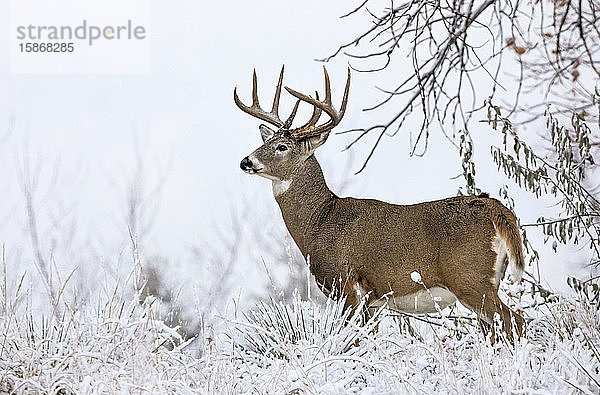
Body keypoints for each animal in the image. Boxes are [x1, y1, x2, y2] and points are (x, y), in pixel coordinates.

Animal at [234, 66, 524, 342]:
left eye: (282, 146)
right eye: (266, 141)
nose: (246, 161)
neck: (320, 221)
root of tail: (495, 209)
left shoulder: (346, 283)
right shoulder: (373, 301)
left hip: (469, 277)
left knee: (515, 321)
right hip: (488, 279)